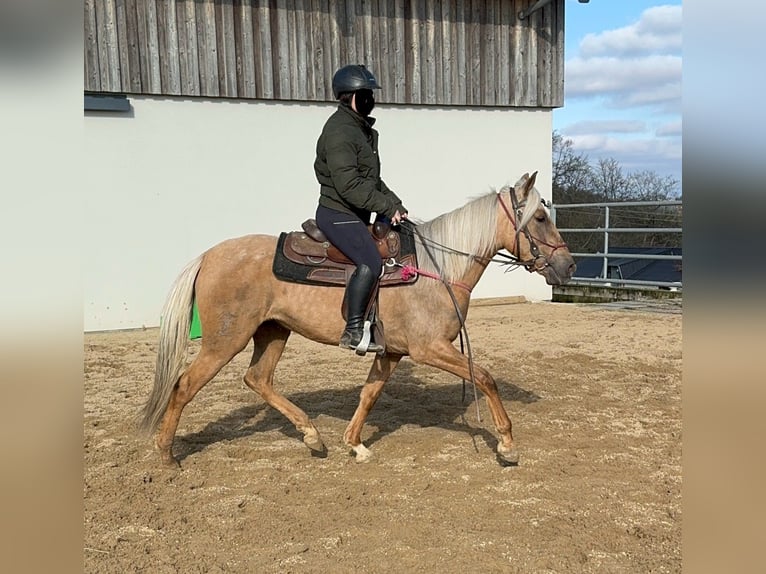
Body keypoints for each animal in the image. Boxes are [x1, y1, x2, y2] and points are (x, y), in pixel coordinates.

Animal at [141, 172, 580, 468]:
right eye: (540, 218)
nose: (569, 266)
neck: (435, 267)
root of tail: (208, 256)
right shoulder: (430, 349)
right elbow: (485, 377)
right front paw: (507, 444)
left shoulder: (392, 353)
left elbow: (369, 394)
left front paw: (354, 443)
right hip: (225, 339)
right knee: (184, 385)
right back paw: (166, 454)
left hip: (273, 332)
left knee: (258, 379)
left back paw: (312, 435)